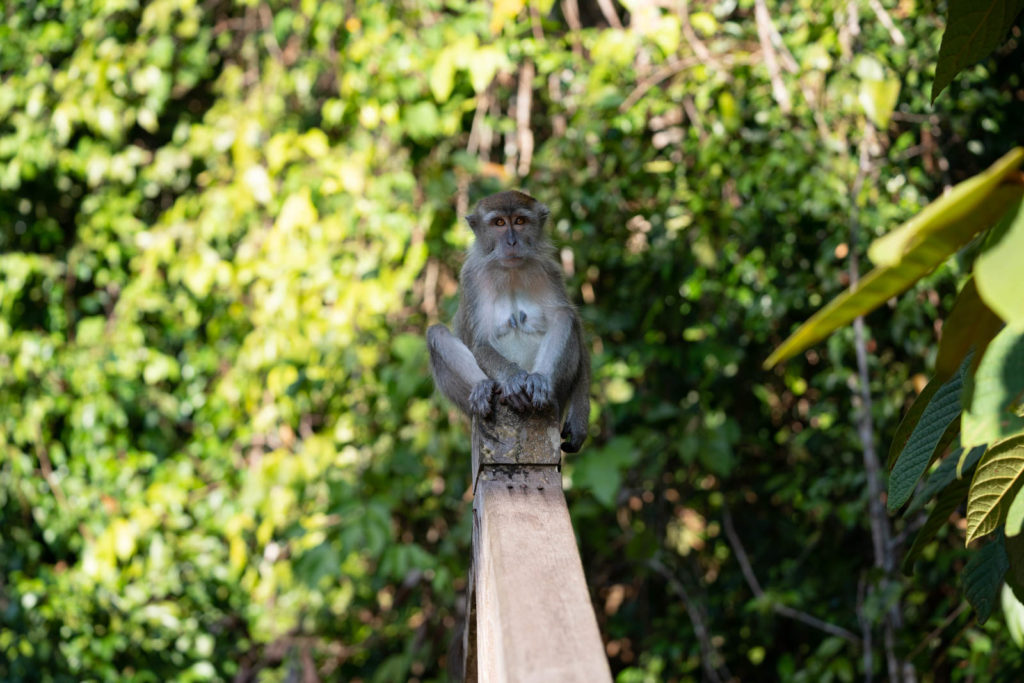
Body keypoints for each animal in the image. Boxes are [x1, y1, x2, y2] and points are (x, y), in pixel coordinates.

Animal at [427, 190, 590, 453]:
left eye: (520, 221)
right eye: (499, 223)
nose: (512, 242)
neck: (511, 271)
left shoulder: (550, 271)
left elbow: (575, 328)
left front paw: (579, 420)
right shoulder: (472, 278)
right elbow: (481, 343)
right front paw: (513, 378)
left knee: (564, 318)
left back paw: (538, 380)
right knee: (436, 333)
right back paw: (485, 387)